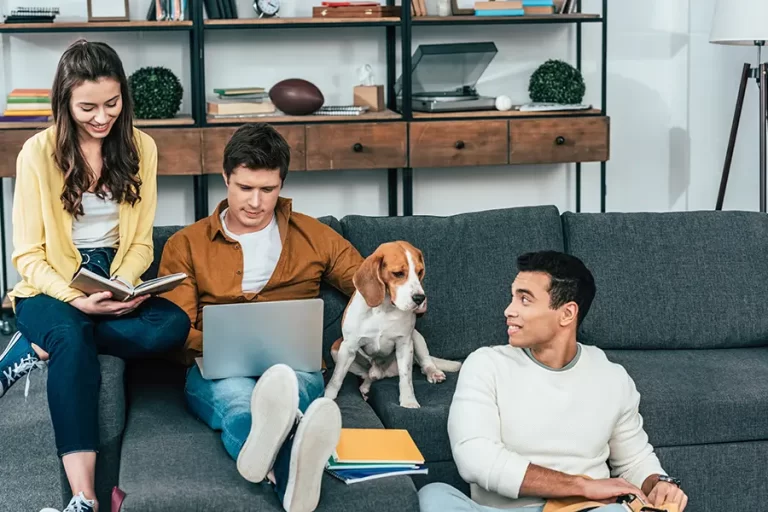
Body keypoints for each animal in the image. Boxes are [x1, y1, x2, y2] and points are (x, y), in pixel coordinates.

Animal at [324, 240, 462, 408]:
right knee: (367, 375)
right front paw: (327, 397)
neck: (384, 308)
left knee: (425, 362)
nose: (420, 298)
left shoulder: (404, 344)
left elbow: (406, 379)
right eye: (398, 273)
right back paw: (365, 387)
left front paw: (408, 401)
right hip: (336, 349)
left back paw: (433, 372)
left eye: (420, 272)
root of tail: (381, 373)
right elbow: (336, 378)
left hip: (416, 337)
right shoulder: (348, 347)